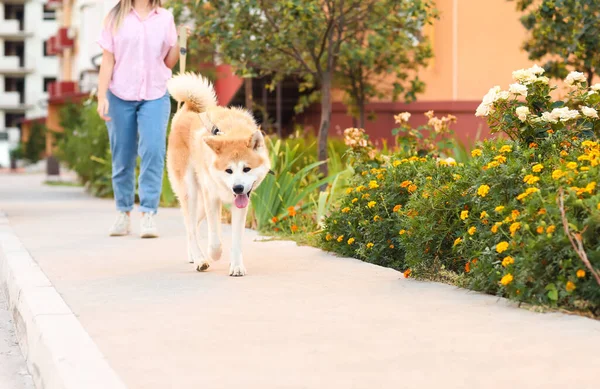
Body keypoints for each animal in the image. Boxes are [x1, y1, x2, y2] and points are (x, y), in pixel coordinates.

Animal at [165, 73, 270, 276]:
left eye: (246, 169)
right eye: (228, 170)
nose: (238, 188)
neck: (232, 131)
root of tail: (188, 110)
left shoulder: (240, 205)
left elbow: (236, 240)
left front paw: (236, 265)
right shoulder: (212, 199)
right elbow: (214, 239)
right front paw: (214, 254)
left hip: (201, 203)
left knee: (191, 226)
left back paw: (193, 256)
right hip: (191, 193)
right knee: (191, 228)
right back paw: (200, 259)